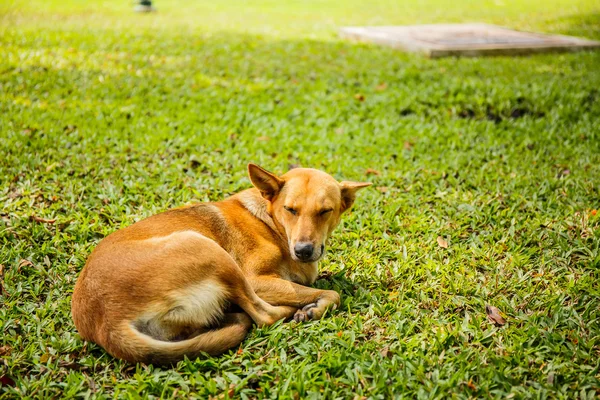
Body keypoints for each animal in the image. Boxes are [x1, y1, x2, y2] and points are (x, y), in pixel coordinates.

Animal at [71, 164, 370, 364]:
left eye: (325, 211)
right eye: (291, 210)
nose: (304, 251)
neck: (270, 221)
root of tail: (106, 324)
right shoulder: (256, 280)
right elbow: (332, 293)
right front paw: (313, 306)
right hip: (209, 250)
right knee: (264, 316)